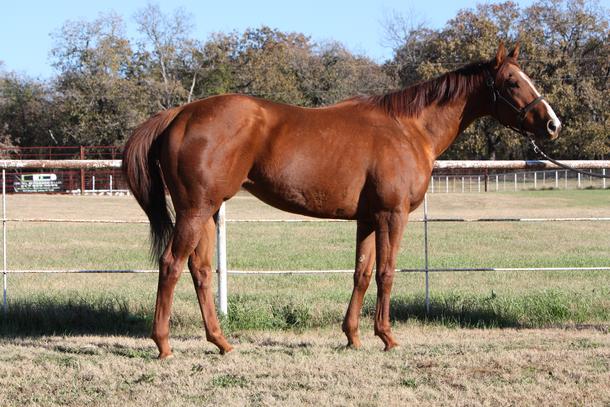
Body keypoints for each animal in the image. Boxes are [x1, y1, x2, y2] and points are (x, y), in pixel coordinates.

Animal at [122, 43, 560, 358]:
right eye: (511, 82)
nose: (553, 124)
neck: (408, 129)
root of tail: (180, 114)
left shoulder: (367, 219)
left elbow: (362, 274)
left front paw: (353, 336)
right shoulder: (392, 216)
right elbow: (386, 273)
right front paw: (387, 337)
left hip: (208, 211)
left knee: (200, 271)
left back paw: (221, 342)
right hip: (194, 210)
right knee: (171, 265)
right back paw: (163, 345)